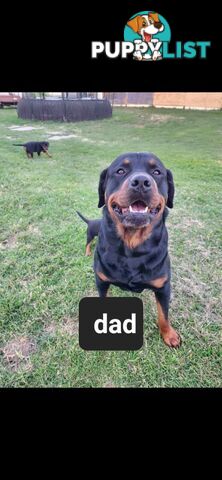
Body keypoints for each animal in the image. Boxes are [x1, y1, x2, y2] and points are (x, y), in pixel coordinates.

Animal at [93, 152, 181, 346]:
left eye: (157, 172)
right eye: (120, 171)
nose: (141, 181)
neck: (132, 247)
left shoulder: (163, 286)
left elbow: (164, 314)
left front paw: (169, 334)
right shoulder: (101, 281)